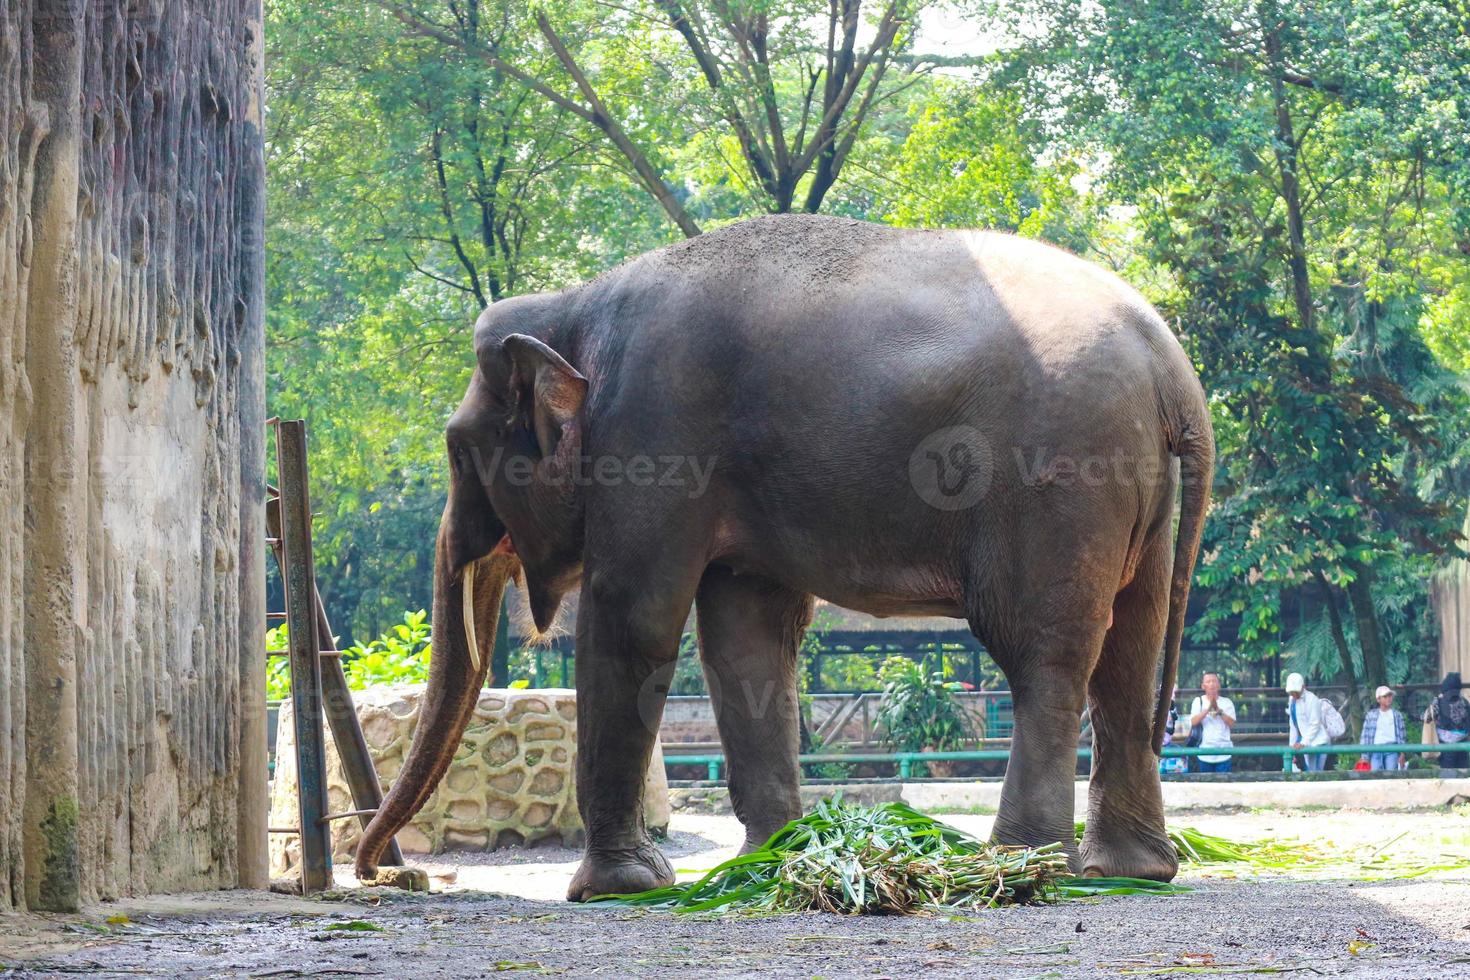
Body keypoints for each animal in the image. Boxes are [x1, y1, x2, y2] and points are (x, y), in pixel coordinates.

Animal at [349, 213, 1211, 899]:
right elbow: (743, 638)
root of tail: (1173, 369)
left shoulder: (653, 432)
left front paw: (617, 889)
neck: (575, 305)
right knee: (1129, 648)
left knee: (1044, 652)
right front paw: (775, 861)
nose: (391, 872)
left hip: (1055, 480)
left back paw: (1015, 866)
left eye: (458, 450)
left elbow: (637, 618)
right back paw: (1128, 871)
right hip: (1133, 494)